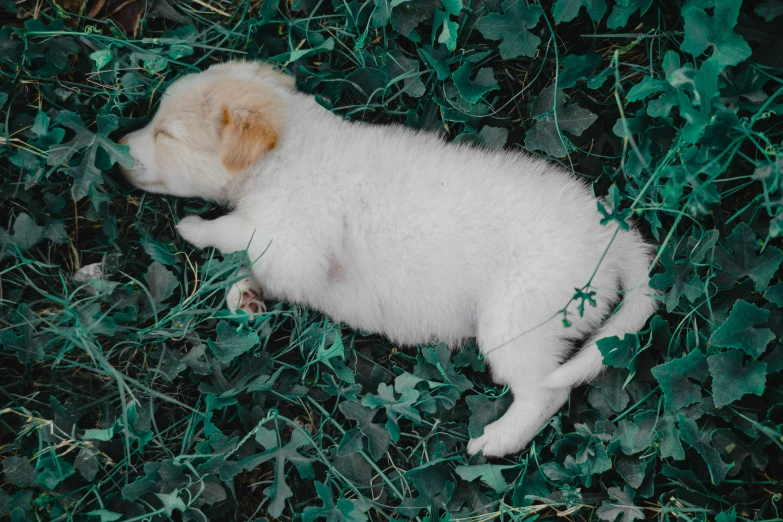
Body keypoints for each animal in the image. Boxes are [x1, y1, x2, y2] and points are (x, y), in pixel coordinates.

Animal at [121, 61, 656, 456]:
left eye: (167, 134)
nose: (117, 150)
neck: (287, 153)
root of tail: (615, 240)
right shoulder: (291, 260)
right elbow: (251, 263)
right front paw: (245, 298)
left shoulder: (293, 239)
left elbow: (236, 232)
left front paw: (194, 227)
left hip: (517, 319)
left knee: (545, 392)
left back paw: (496, 441)